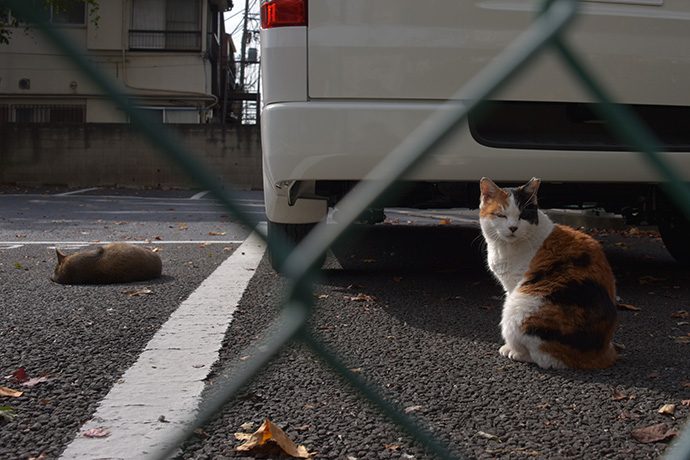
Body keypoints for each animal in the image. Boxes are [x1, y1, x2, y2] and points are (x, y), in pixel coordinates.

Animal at [478, 177, 620, 370]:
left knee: (545, 358)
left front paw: (510, 349)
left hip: (518, 306)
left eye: (523, 215)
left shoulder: (514, 285)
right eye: (501, 215)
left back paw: (515, 352)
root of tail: (604, 353)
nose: (513, 227)